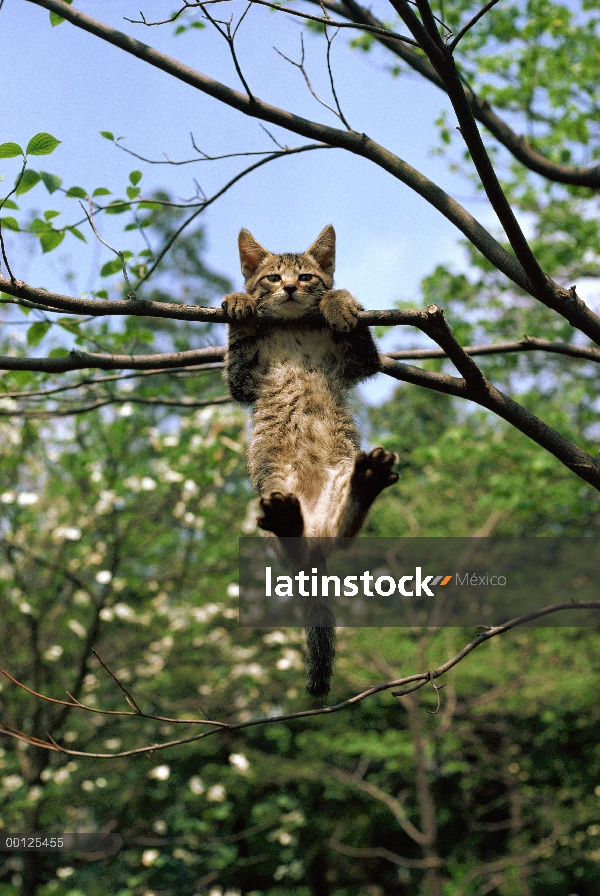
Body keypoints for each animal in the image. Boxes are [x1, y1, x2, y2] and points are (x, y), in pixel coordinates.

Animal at [220, 228, 398, 696]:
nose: (288, 288)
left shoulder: (358, 362)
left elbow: (356, 332)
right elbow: (237, 352)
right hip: (268, 496)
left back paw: (366, 482)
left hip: (339, 485)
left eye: (306, 276)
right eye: (271, 277)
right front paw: (239, 302)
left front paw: (339, 300)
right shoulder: (243, 380)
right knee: (293, 548)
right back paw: (288, 522)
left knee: (342, 534)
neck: (294, 328)